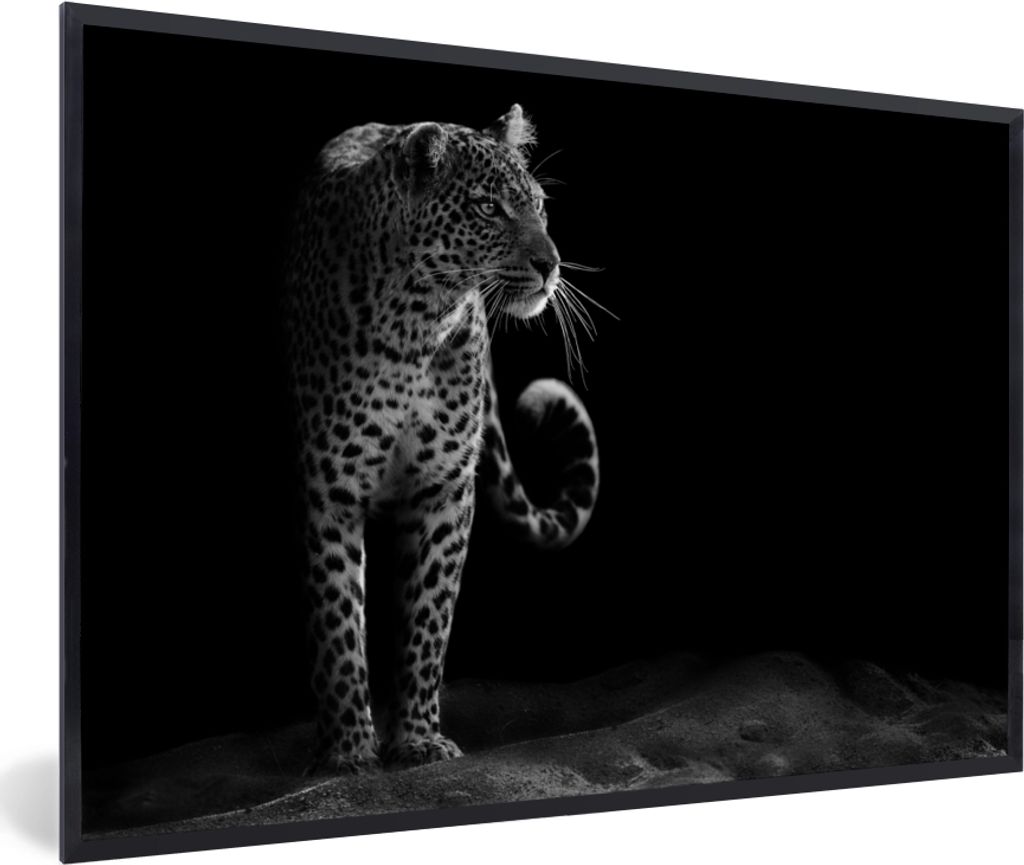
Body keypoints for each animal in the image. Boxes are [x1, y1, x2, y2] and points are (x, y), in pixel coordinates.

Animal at [284, 104, 600, 773]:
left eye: (539, 206)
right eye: (488, 208)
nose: (551, 264)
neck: (416, 321)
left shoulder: (444, 488)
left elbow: (428, 615)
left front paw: (418, 739)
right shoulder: (329, 487)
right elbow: (336, 618)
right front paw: (347, 750)